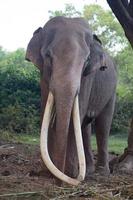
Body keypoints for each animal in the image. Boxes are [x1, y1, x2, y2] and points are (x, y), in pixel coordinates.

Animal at [25, 16, 117, 186]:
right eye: (48, 56)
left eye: (86, 60)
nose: (58, 182)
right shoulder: (44, 76)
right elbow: (45, 111)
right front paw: (45, 174)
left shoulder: (87, 77)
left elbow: (78, 112)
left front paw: (68, 175)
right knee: (85, 127)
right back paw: (89, 171)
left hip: (112, 90)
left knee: (103, 124)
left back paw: (101, 173)